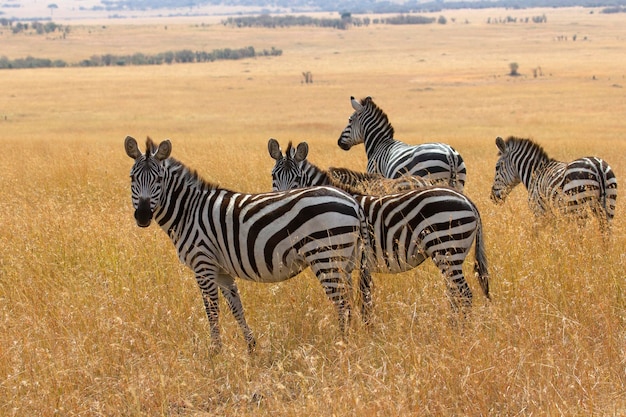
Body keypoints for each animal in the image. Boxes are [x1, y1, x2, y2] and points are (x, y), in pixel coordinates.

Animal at [125, 136, 370, 352]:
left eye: (158, 180)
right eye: (132, 179)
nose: (143, 216)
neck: (189, 211)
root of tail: (352, 201)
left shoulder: (203, 264)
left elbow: (212, 310)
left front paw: (215, 353)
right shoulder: (221, 270)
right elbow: (236, 308)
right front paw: (251, 347)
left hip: (325, 258)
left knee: (343, 306)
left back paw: (341, 346)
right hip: (345, 261)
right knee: (350, 303)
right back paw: (349, 343)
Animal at [266, 138, 488, 316]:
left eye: (297, 178)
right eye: (273, 176)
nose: (281, 200)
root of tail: (467, 200)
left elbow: (363, 300)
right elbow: (362, 299)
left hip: (447, 248)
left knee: (465, 294)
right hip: (448, 254)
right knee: (455, 294)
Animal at [336, 95, 464, 190]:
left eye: (350, 120)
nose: (339, 142)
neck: (379, 144)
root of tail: (450, 154)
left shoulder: (375, 177)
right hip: (459, 183)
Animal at [488, 136, 616, 231]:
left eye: (497, 167)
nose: (492, 197)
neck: (535, 172)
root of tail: (597, 166)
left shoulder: (539, 210)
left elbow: (537, 234)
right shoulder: (552, 214)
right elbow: (554, 234)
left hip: (577, 208)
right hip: (608, 206)